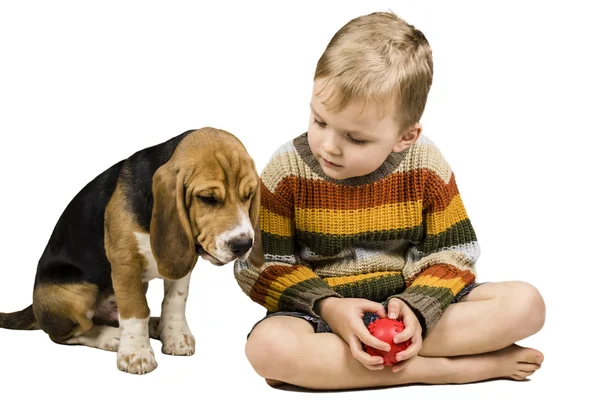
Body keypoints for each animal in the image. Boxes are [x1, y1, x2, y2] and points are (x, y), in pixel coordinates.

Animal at [0, 126, 262, 374]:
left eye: (249, 195)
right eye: (207, 198)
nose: (243, 245)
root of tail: (34, 308)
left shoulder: (183, 260)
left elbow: (175, 300)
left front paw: (174, 335)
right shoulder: (125, 263)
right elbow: (136, 310)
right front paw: (137, 354)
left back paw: (155, 326)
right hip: (74, 292)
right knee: (67, 334)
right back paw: (111, 337)